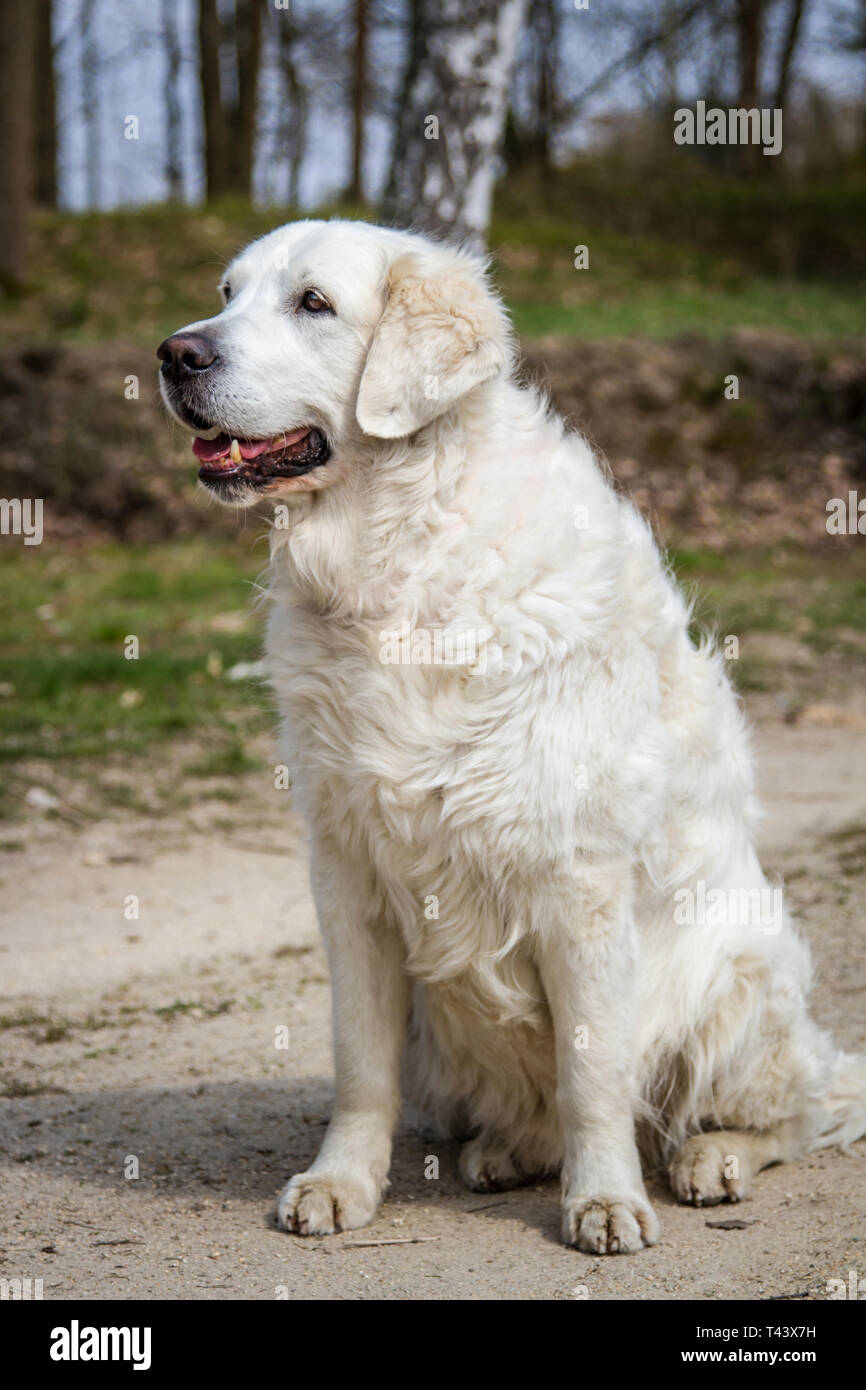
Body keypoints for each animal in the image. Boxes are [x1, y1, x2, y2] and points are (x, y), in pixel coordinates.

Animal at [157, 219, 866, 1262]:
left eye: (314, 303)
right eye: (227, 293)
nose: (174, 355)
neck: (398, 553)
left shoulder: (581, 880)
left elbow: (594, 1074)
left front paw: (604, 1200)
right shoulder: (347, 875)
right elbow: (359, 1064)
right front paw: (341, 1183)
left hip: (740, 978)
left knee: (796, 1115)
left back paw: (711, 1158)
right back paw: (508, 1151)